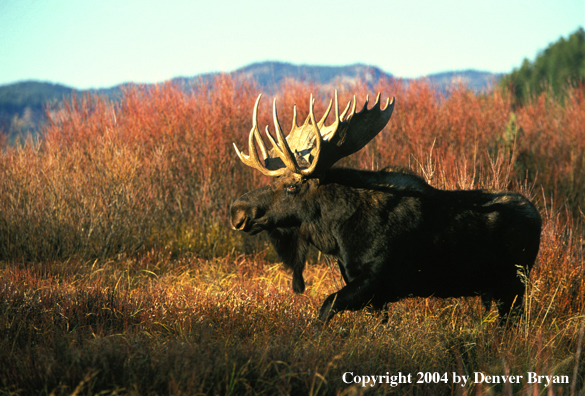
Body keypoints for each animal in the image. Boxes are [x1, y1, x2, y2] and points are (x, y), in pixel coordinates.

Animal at [230, 91, 540, 324]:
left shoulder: (377, 279)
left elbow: (326, 307)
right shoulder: (370, 293)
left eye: (293, 186)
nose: (238, 211)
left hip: (513, 284)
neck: (338, 235)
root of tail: (538, 216)